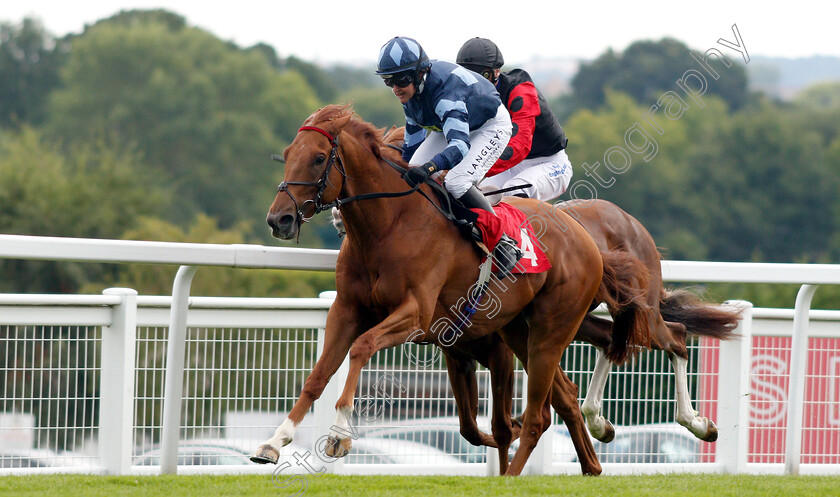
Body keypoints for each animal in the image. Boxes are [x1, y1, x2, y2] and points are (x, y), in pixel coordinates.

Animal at [251, 103, 648, 472]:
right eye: (288, 153)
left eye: (319, 158)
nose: (279, 219)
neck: (388, 226)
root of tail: (589, 241)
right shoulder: (349, 310)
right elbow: (317, 376)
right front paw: (274, 441)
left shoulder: (417, 315)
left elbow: (362, 347)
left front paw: (338, 436)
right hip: (519, 331)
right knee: (562, 398)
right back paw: (591, 461)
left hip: (551, 332)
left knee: (539, 416)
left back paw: (517, 472)